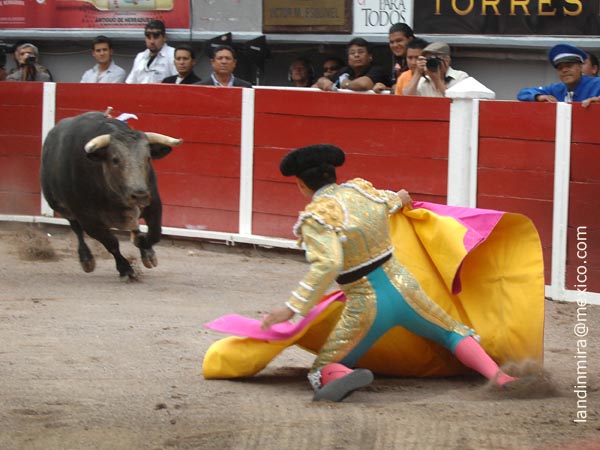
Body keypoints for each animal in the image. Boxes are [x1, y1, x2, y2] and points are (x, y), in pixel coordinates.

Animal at [39, 111, 182, 280]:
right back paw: (86, 260)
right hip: (61, 207)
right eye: (115, 160)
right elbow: (111, 243)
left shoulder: (154, 204)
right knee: (76, 228)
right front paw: (125, 269)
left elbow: (154, 234)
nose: (139, 195)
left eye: (148, 158)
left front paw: (144, 247)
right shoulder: (90, 221)